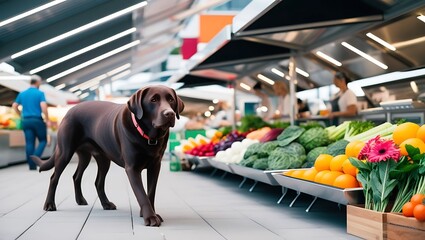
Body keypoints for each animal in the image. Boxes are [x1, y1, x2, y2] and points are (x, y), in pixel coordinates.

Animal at [31, 85, 184, 226]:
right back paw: (49, 204)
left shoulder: (155, 166)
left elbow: (150, 192)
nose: (170, 114)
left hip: (96, 158)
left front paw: (151, 213)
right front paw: (150, 217)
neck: (149, 136)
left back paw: (95, 202)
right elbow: (141, 194)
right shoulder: (132, 169)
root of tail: (70, 110)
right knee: (54, 178)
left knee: (86, 179)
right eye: (153, 100)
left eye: (171, 99)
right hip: (65, 153)